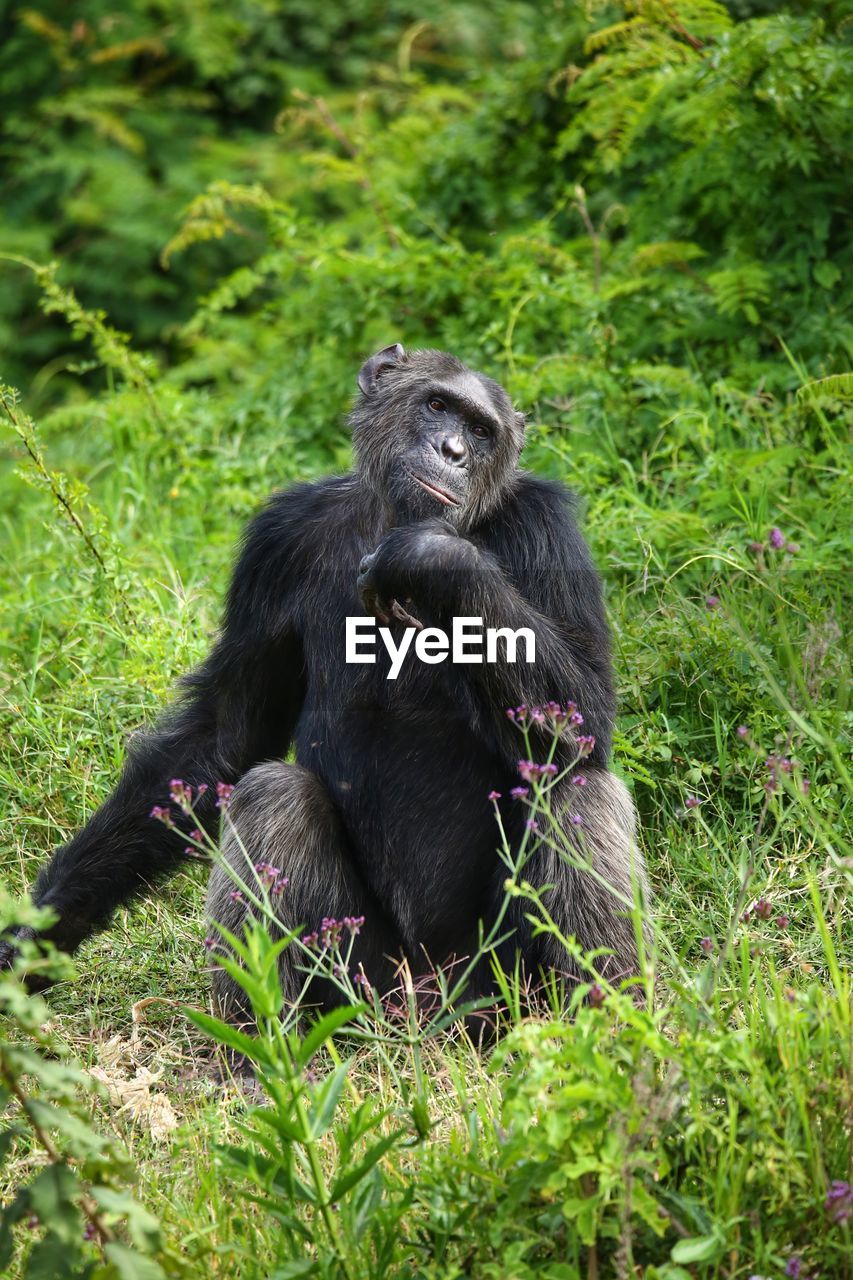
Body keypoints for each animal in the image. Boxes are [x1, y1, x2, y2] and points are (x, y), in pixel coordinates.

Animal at [0, 348, 640, 1018]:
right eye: (438, 404)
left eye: (482, 431)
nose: (455, 451)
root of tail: (428, 1008)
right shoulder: (278, 543)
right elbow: (224, 734)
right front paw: (38, 934)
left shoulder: (546, 529)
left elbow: (585, 710)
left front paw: (430, 556)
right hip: (358, 977)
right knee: (271, 794)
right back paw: (261, 1040)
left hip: (496, 983)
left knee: (573, 787)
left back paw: (608, 1025)